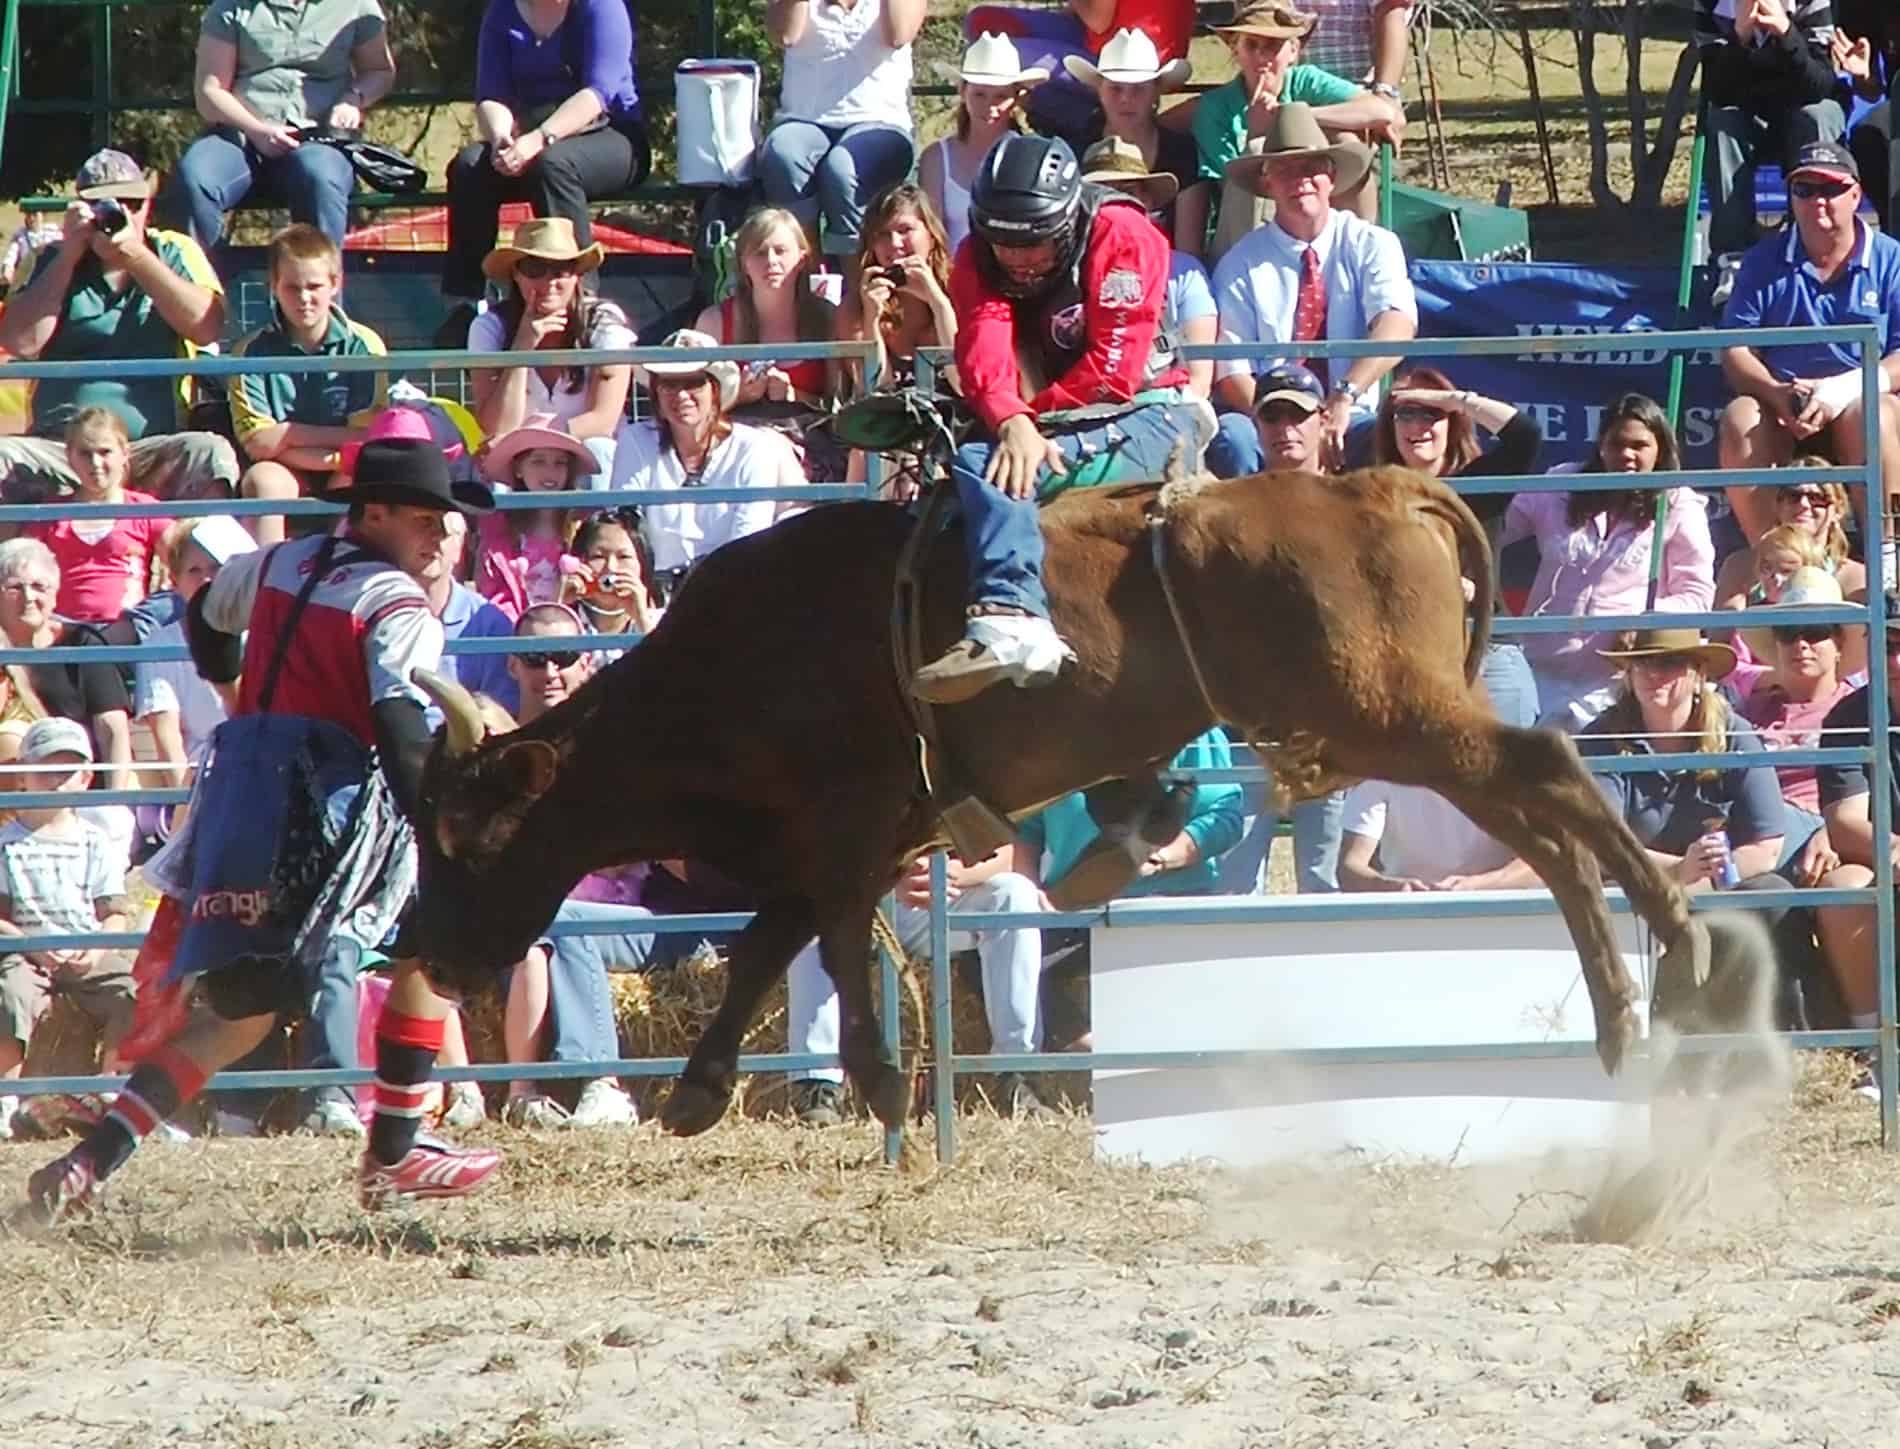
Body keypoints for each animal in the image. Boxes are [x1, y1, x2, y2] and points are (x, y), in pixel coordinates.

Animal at [416, 467, 1725, 1131]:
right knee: (1535, 814)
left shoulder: (842, 826)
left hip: (1388, 711)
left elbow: (810, 944)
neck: (726, 663)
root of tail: (1376, 485)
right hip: (1401, 720)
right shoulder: (853, 837)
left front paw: (876, 1088)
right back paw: (1630, 1007)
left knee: (1545, 774)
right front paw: (701, 1090)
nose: (437, 956)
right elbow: (773, 942)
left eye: (466, 833)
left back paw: (1673, 955)